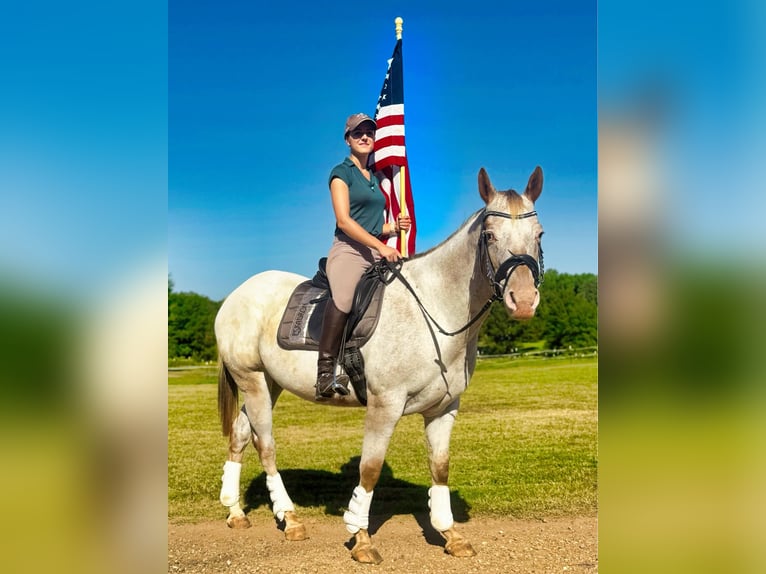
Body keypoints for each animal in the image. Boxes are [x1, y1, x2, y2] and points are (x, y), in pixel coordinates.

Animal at [216, 169, 544, 564]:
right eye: (490, 236)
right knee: (265, 444)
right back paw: (290, 518)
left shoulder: (444, 408)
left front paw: (450, 533)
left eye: (539, 234)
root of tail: (235, 295)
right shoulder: (384, 405)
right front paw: (361, 538)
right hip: (251, 380)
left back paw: (235, 511)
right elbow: (370, 470)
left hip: (267, 383)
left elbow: (440, 466)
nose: (523, 301)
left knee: (240, 435)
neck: (433, 308)